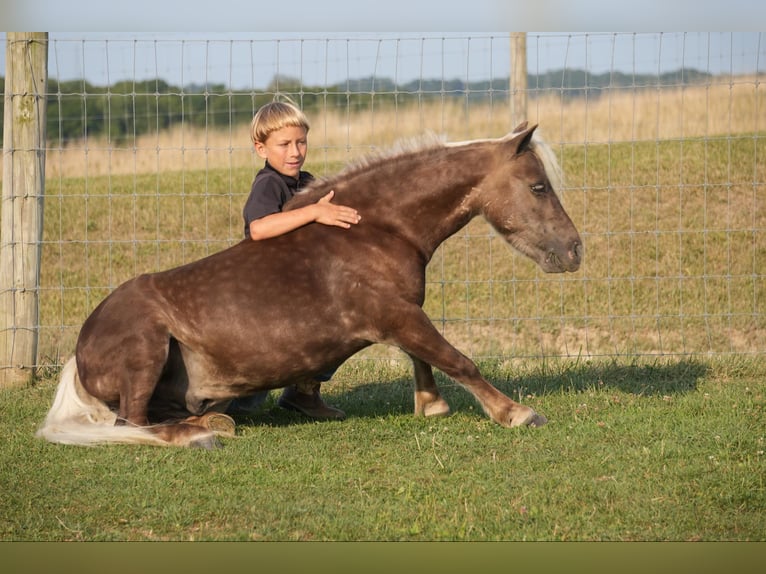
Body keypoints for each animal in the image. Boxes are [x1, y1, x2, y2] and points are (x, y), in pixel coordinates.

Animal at [37, 124, 584, 450]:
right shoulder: (396, 315)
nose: (575, 250)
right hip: (145, 348)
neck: (374, 230)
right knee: (129, 424)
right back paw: (193, 437)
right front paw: (515, 413)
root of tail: (80, 354)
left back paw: (209, 424)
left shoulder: (402, 314)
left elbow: (424, 357)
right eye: (538, 187)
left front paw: (431, 405)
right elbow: (456, 358)